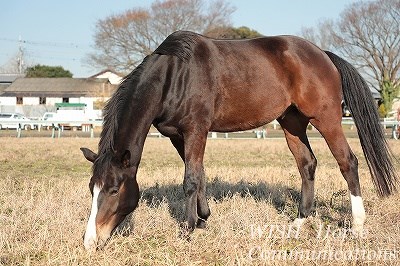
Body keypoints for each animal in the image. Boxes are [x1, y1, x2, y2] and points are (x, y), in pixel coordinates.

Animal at [80, 30, 396, 250]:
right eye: (91, 189)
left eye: (113, 190)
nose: (90, 241)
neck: (174, 76)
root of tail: (323, 54)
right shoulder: (177, 136)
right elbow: (199, 175)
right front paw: (204, 219)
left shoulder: (196, 130)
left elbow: (190, 179)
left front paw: (188, 229)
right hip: (292, 123)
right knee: (307, 164)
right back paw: (299, 221)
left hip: (326, 118)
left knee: (348, 162)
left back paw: (357, 226)